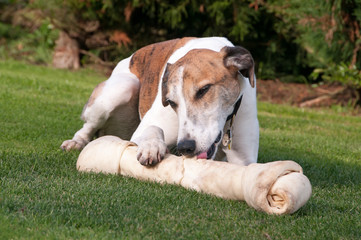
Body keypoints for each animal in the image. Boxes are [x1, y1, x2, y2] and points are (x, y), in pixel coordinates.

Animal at [62, 36, 258, 166]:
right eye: (171, 102)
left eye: (204, 89)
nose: (185, 147)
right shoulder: (142, 131)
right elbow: (152, 128)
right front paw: (152, 145)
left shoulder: (243, 160)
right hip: (121, 88)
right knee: (87, 127)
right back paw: (76, 141)